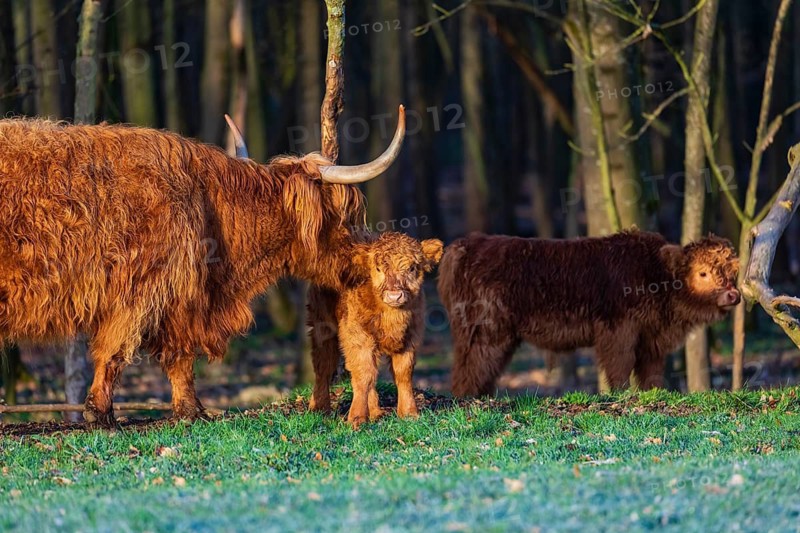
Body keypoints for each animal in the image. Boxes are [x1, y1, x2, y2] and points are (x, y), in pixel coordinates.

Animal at [0, 107, 405, 426]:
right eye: (347, 216)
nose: (364, 261)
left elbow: (173, 357)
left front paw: (183, 410)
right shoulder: (150, 289)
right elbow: (129, 351)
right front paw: (104, 413)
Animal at [306, 232, 443, 427]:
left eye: (412, 268)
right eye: (377, 269)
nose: (394, 295)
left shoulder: (411, 338)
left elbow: (403, 373)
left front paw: (409, 413)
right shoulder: (358, 339)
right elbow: (363, 374)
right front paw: (356, 418)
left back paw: (376, 412)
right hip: (321, 327)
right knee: (324, 364)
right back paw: (319, 408)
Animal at [437, 230, 740, 396]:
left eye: (733, 272)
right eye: (702, 273)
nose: (733, 295)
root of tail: (465, 246)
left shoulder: (650, 340)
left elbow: (651, 374)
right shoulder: (618, 331)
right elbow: (619, 367)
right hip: (486, 332)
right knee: (471, 367)